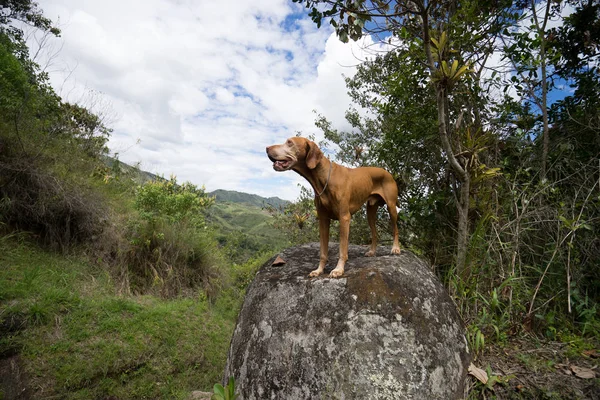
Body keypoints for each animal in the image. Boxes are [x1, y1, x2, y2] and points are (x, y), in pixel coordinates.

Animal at [266, 136, 398, 276]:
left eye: (289, 142)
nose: (267, 148)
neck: (323, 178)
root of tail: (387, 172)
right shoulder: (323, 219)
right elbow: (323, 251)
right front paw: (319, 270)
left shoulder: (344, 218)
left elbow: (342, 249)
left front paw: (339, 269)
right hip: (370, 212)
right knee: (375, 233)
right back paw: (372, 251)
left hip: (391, 207)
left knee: (395, 229)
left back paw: (396, 248)